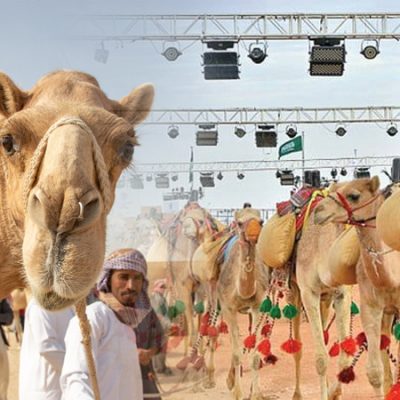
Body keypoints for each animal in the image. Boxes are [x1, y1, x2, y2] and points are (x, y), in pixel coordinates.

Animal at [216, 208, 268, 398]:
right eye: (239, 223)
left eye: (261, 221)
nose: (254, 232)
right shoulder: (228, 308)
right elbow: (237, 352)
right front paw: (237, 393)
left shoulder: (258, 307)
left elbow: (254, 352)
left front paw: (256, 394)